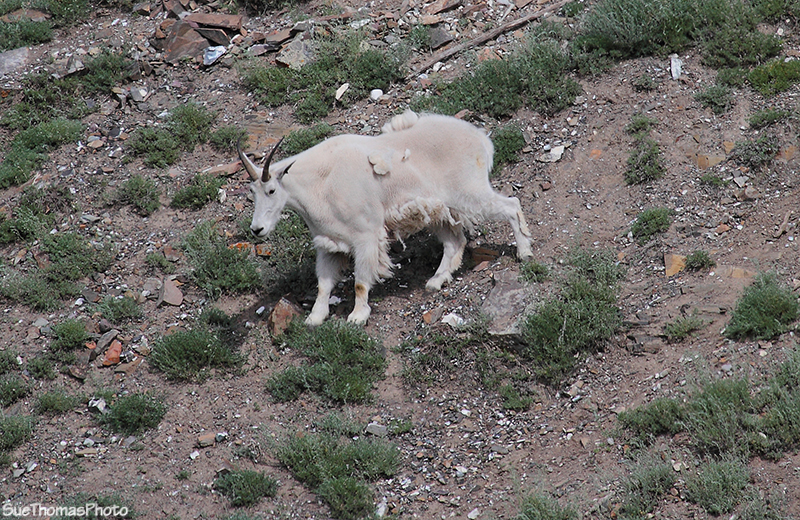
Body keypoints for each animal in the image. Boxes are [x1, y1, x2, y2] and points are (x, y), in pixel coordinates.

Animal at [238, 110, 534, 326]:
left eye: (271, 190)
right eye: (252, 192)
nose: (257, 229)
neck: (321, 182)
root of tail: (482, 140)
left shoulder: (365, 237)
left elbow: (359, 282)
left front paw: (357, 317)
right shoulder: (328, 244)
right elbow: (323, 284)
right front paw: (314, 318)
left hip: (469, 193)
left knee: (511, 205)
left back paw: (524, 253)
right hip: (439, 210)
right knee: (454, 242)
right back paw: (436, 281)